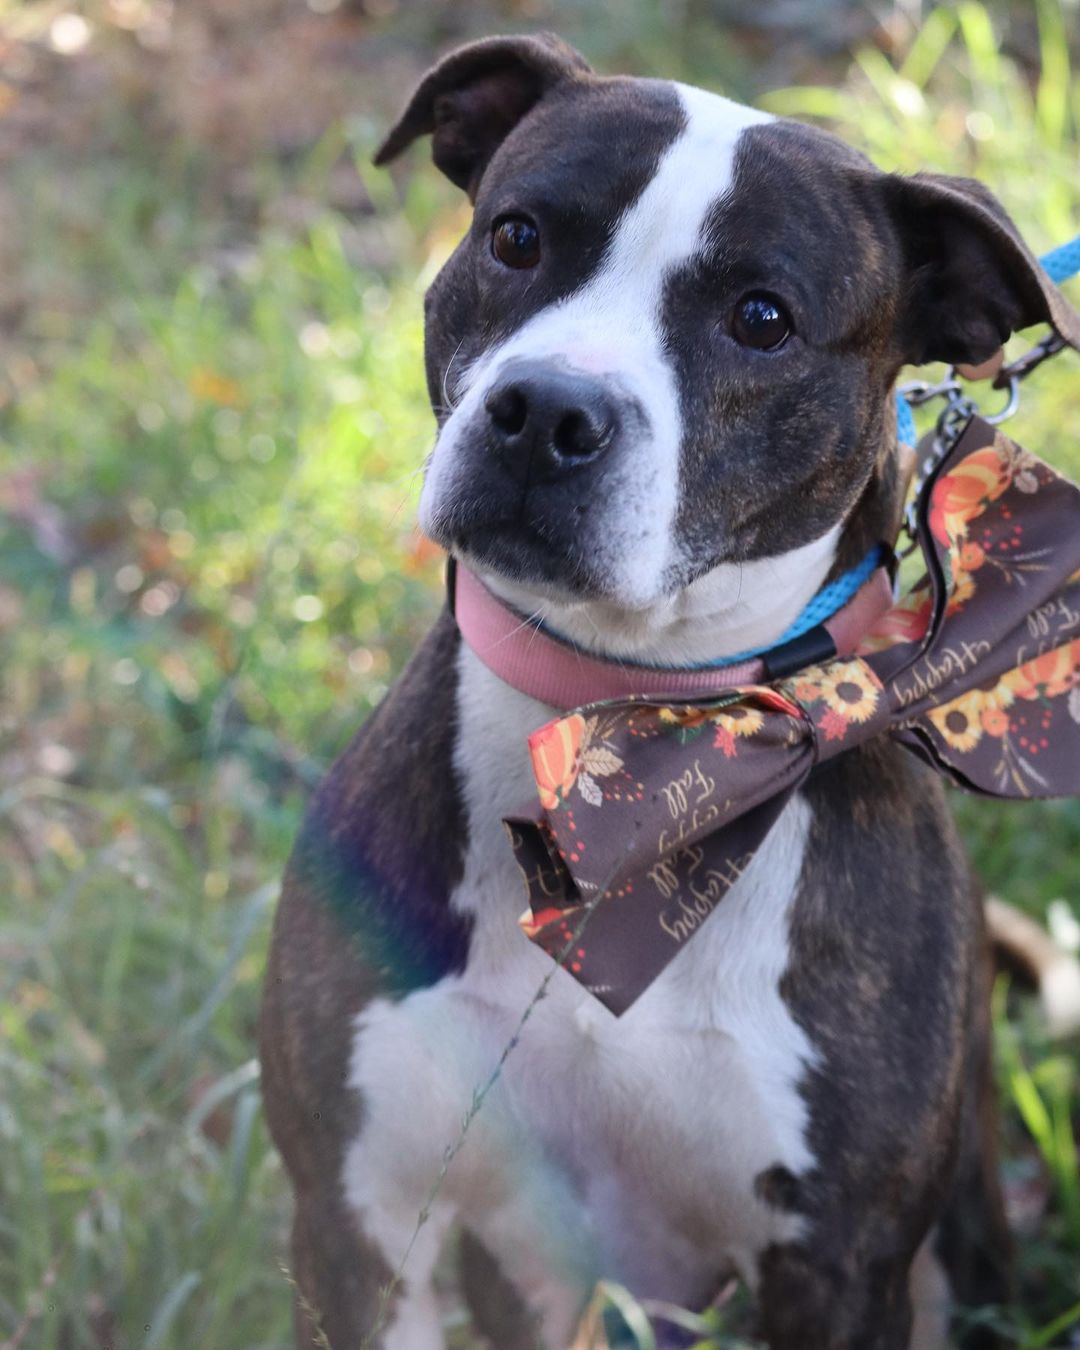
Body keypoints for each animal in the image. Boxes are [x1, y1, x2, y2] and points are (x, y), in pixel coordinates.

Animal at [257, 36, 1074, 1350]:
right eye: (518, 238)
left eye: (762, 320)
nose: (546, 411)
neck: (636, 740)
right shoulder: (357, 1226)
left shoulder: (839, 1269)